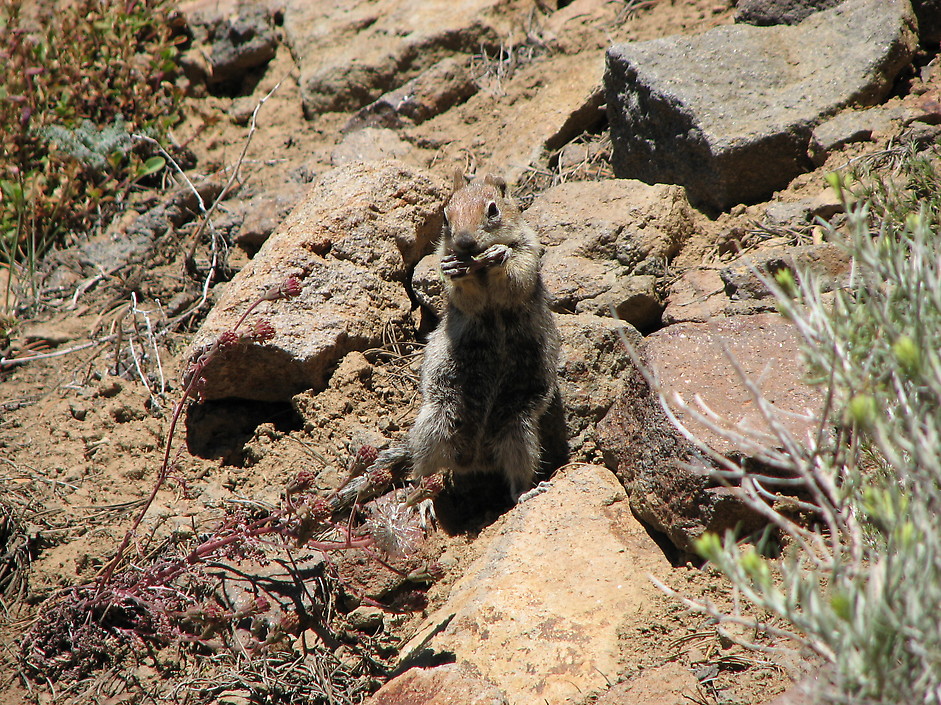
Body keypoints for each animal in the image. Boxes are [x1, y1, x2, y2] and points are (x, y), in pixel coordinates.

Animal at [332, 170, 565, 512]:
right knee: (422, 472)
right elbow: (464, 293)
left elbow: (516, 274)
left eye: (492, 209)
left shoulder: (529, 251)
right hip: (436, 423)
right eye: (445, 216)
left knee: (516, 475)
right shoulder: (456, 276)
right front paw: (457, 269)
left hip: (518, 430)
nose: (465, 242)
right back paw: (422, 500)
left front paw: (500, 255)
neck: (479, 267)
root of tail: (475, 460)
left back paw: (527, 492)